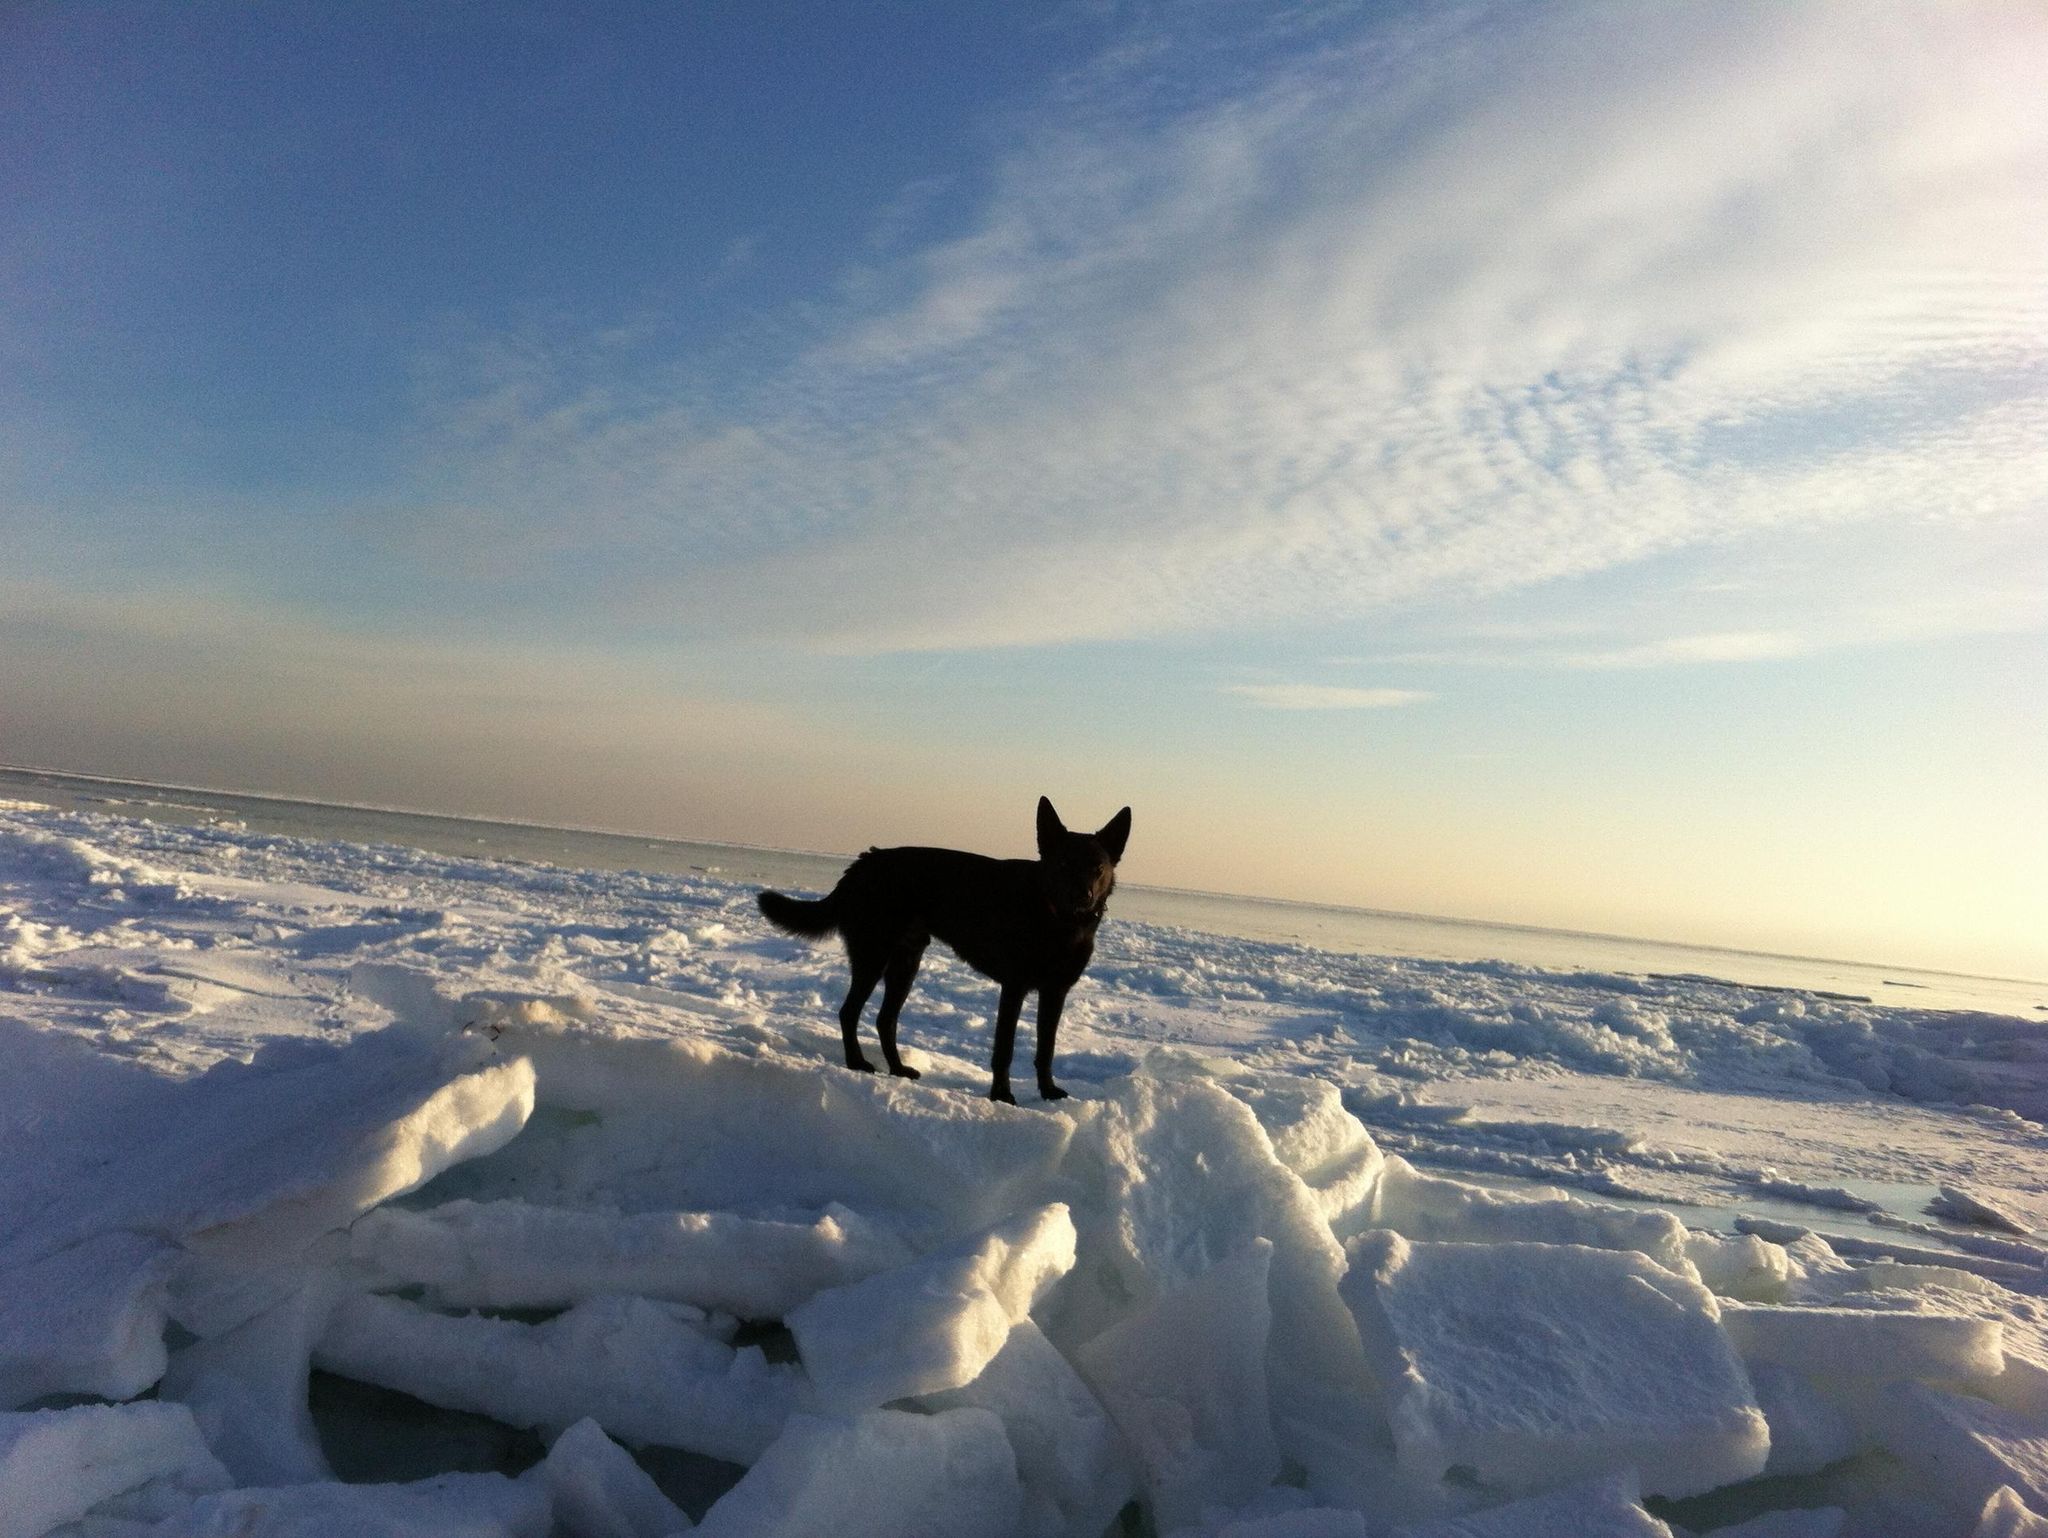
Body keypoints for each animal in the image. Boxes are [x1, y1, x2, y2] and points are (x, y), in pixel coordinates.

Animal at [757, 794, 1138, 1105]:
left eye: (1097, 868)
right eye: (1062, 865)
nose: (1082, 896)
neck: (1057, 921)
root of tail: (863, 863)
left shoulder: (1055, 991)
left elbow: (1046, 1048)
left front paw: (1047, 1092)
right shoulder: (1014, 987)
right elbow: (1004, 1047)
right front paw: (1001, 1095)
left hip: (905, 962)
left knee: (885, 1019)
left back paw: (898, 1068)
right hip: (873, 955)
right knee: (849, 1012)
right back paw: (857, 1063)